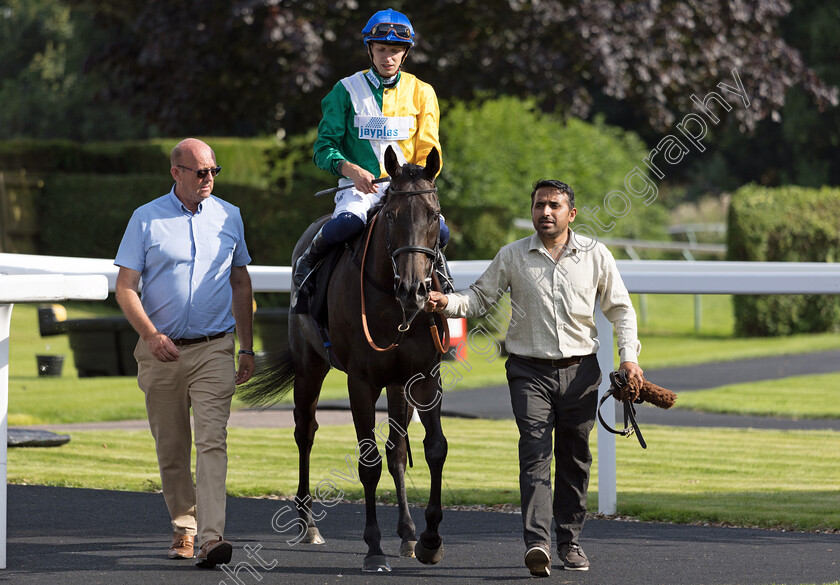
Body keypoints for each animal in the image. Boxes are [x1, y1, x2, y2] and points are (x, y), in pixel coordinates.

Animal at [240, 145, 450, 572]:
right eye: (391, 215)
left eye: (433, 215)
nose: (414, 289)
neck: (392, 302)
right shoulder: (360, 381)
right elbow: (368, 462)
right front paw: (373, 547)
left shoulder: (424, 376)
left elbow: (433, 448)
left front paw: (428, 539)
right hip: (310, 368)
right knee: (305, 432)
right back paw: (308, 525)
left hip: (397, 385)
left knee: (397, 451)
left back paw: (406, 533)